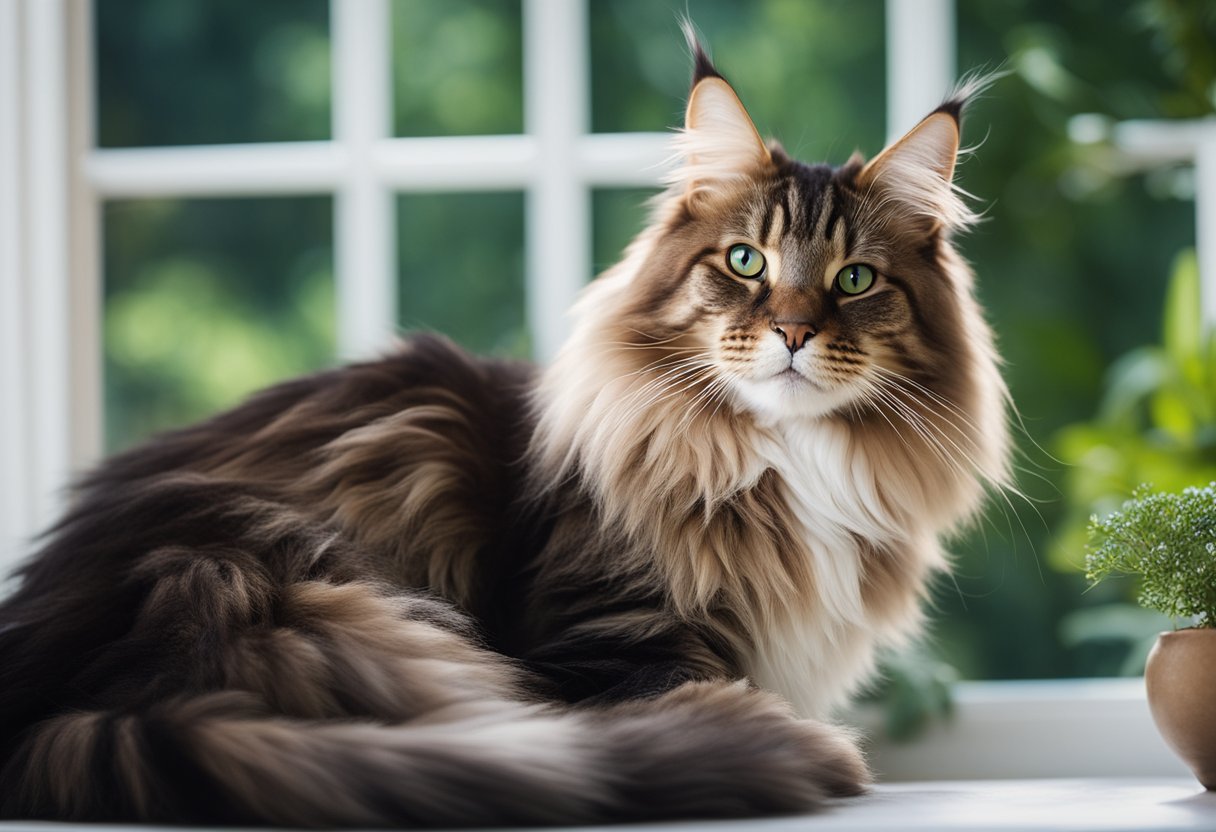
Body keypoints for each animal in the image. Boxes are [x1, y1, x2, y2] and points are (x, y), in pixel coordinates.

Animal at [0, 30, 1006, 827]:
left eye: (854, 280)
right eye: (745, 261)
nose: (795, 332)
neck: (782, 464)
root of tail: (47, 702)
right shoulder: (605, 644)